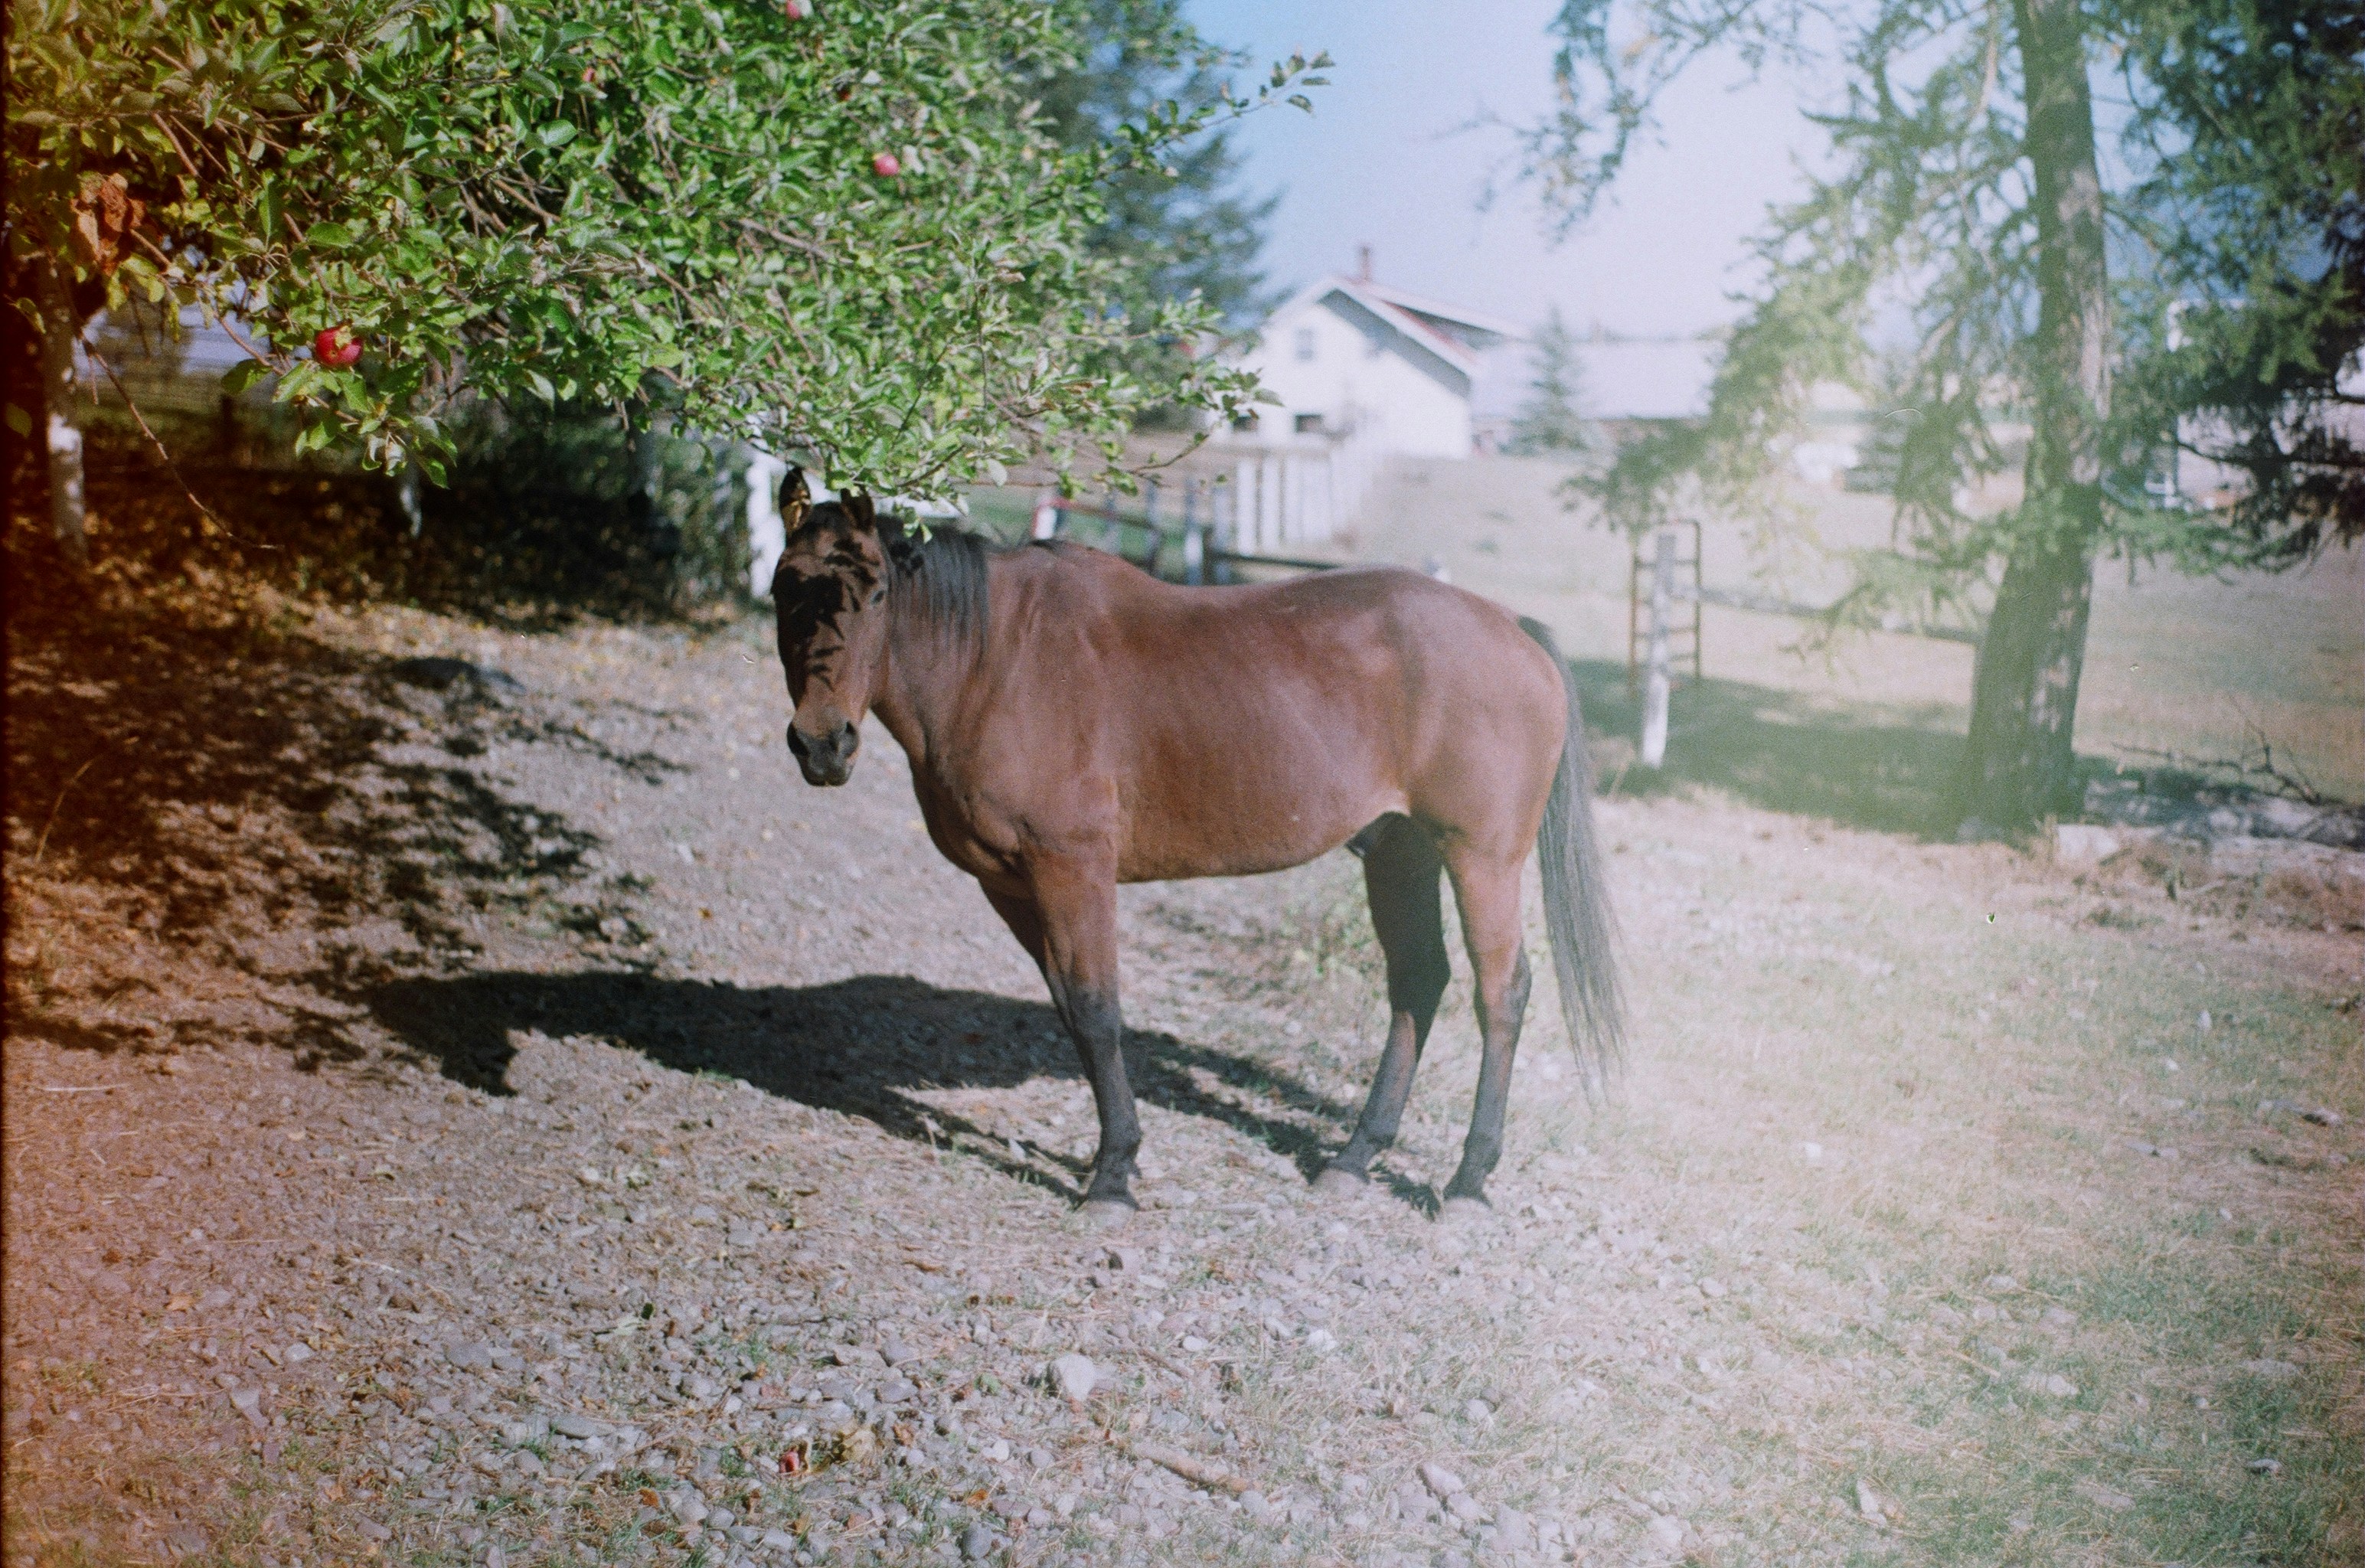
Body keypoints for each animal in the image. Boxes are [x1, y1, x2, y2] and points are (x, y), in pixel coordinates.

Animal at [769, 472, 1620, 1229]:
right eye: (783, 589)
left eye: (876, 594)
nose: (821, 744)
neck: (992, 660)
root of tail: (1511, 627)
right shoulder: (1010, 886)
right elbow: (1072, 1012)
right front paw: (1119, 1157)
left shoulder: (1072, 869)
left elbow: (1096, 1009)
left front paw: (1112, 1177)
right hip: (1398, 852)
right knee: (1417, 981)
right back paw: (1353, 1159)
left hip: (1481, 858)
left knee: (1500, 993)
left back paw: (1468, 1181)